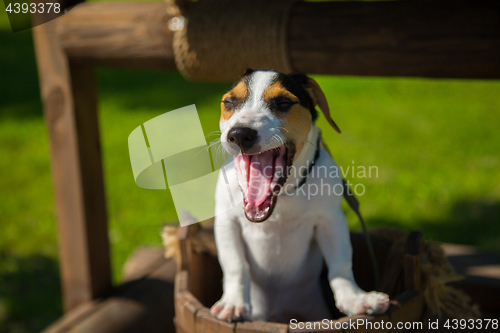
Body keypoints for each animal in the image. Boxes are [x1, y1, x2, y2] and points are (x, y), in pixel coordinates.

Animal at [209, 69, 388, 322]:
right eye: (229, 102)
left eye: (284, 102)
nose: (240, 134)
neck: (283, 197)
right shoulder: (227, 221)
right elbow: (235, 264)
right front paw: (234, 303)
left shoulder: (331, 220)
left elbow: (341, 263)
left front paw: (355, 298)